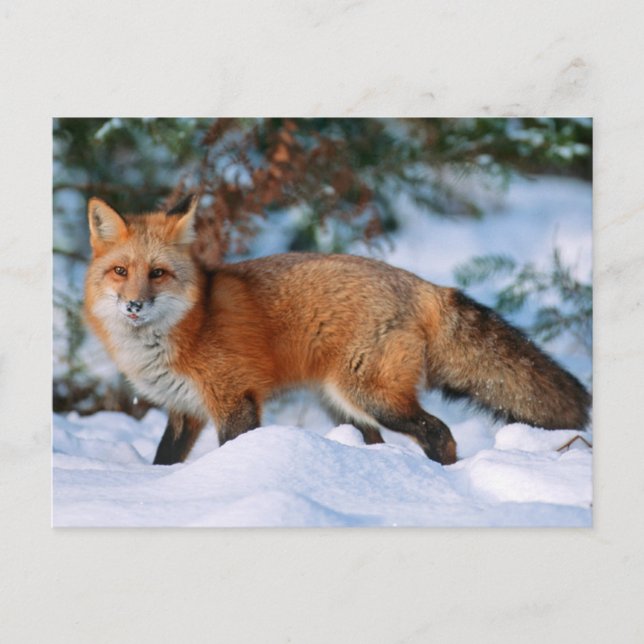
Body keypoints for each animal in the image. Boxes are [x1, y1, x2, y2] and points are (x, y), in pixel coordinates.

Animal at [84, 194, 591, 466]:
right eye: (120, 271)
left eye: (158, 274)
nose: (133, 305)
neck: (185, 328)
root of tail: (422, 284)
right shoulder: (184, 411)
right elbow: (163, 460)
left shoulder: (234, 400)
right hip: (343, 405)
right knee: (381, 441)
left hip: (371, 396)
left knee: (439, 432)